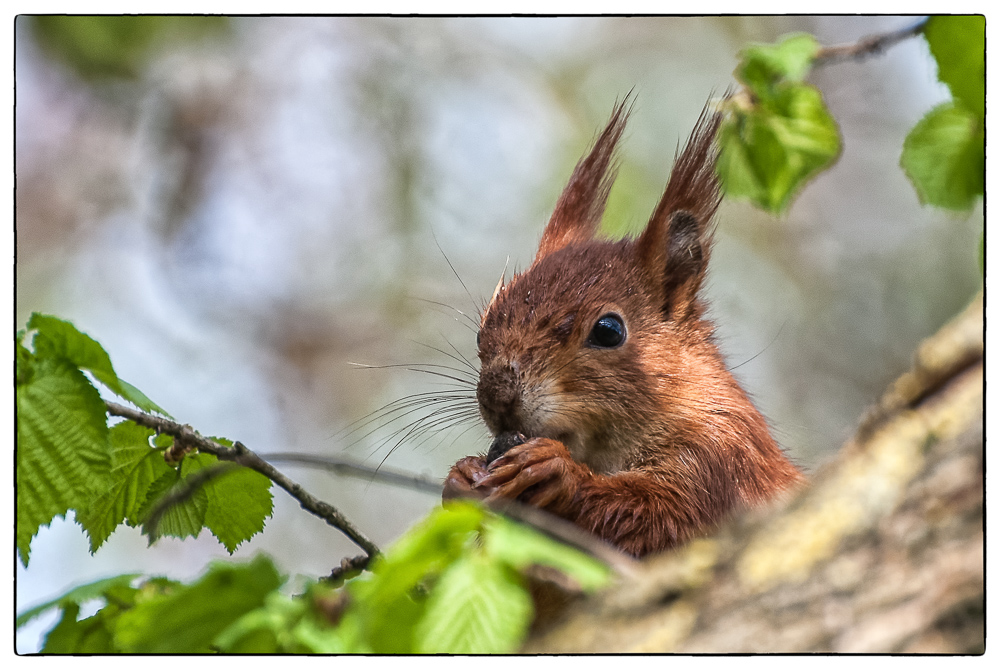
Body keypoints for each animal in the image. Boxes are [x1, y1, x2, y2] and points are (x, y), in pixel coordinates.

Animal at [446, 100, 804, 560]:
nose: (497, 398)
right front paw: (460, 477)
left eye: (609, 330)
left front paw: (555, 474)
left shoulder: (720, 460)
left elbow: (665, 517)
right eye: (481, 332)